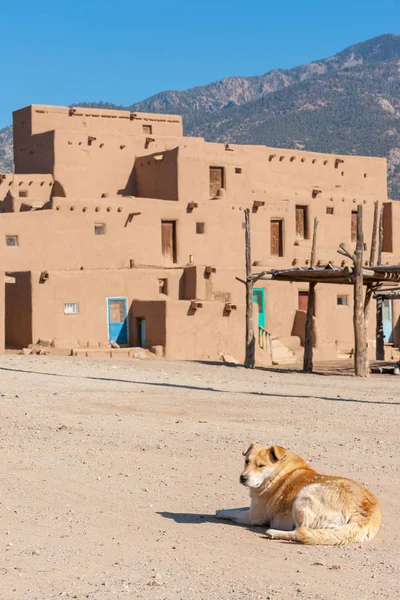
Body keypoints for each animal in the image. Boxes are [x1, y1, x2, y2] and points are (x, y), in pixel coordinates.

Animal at [216, 442, 382, 548]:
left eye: (261, 465)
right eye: (246, 461)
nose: (242, 478)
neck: (279, 472)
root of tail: (366, 510)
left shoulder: (253, 517)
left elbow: (229, 512)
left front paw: (219, 513)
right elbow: (237, 508)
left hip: (304, 496)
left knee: (300, 532)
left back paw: (274, 532)